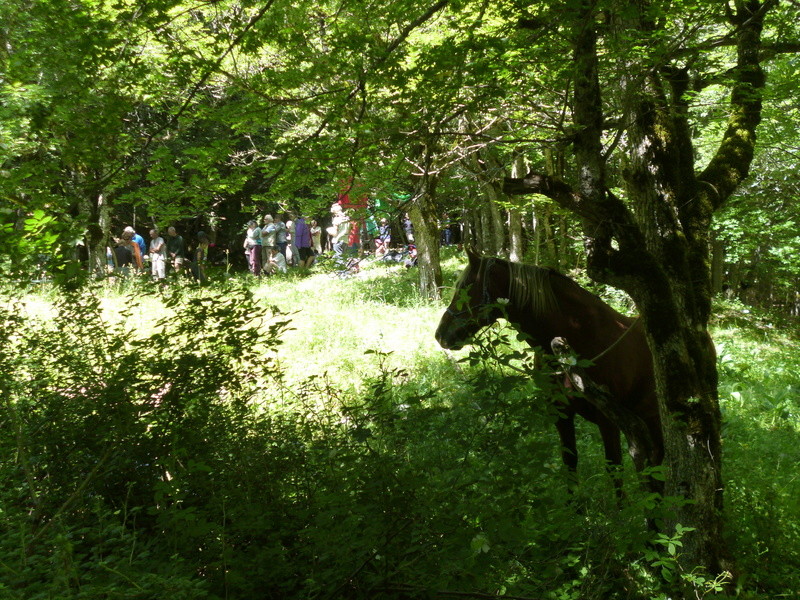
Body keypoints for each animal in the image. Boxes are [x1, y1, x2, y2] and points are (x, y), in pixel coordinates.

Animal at [438, 250, 664, 488]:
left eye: (465, 288)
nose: (441, 334)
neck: (583, 337)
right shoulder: (560, 414)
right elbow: (570, 464)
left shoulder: (608, 421)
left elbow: (615, 471)